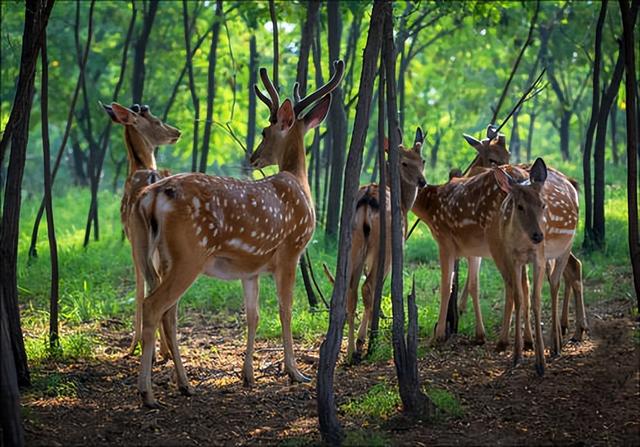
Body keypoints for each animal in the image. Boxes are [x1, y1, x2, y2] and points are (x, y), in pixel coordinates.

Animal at [101, 102, 180, 356]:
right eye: (156, 120)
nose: (177, 132)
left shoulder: (131, 242)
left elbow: (137, 287)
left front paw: (134, 343)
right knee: (162, 285)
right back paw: (166, 349)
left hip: (138, 238)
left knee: (151, 282)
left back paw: (153, 349)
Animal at [127, 60, 342, 410]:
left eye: (265, 131)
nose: (254, 157)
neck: (299, 184)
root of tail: (150, 197)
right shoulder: (289, 251)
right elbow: (285, 310)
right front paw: (295, 372)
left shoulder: (250, 268)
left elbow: (253, 315)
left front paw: (248, 376)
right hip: (189, 254)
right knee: (154, 306)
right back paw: (148, 394)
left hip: (155, 255)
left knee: (167, 312)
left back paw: (184, 385)